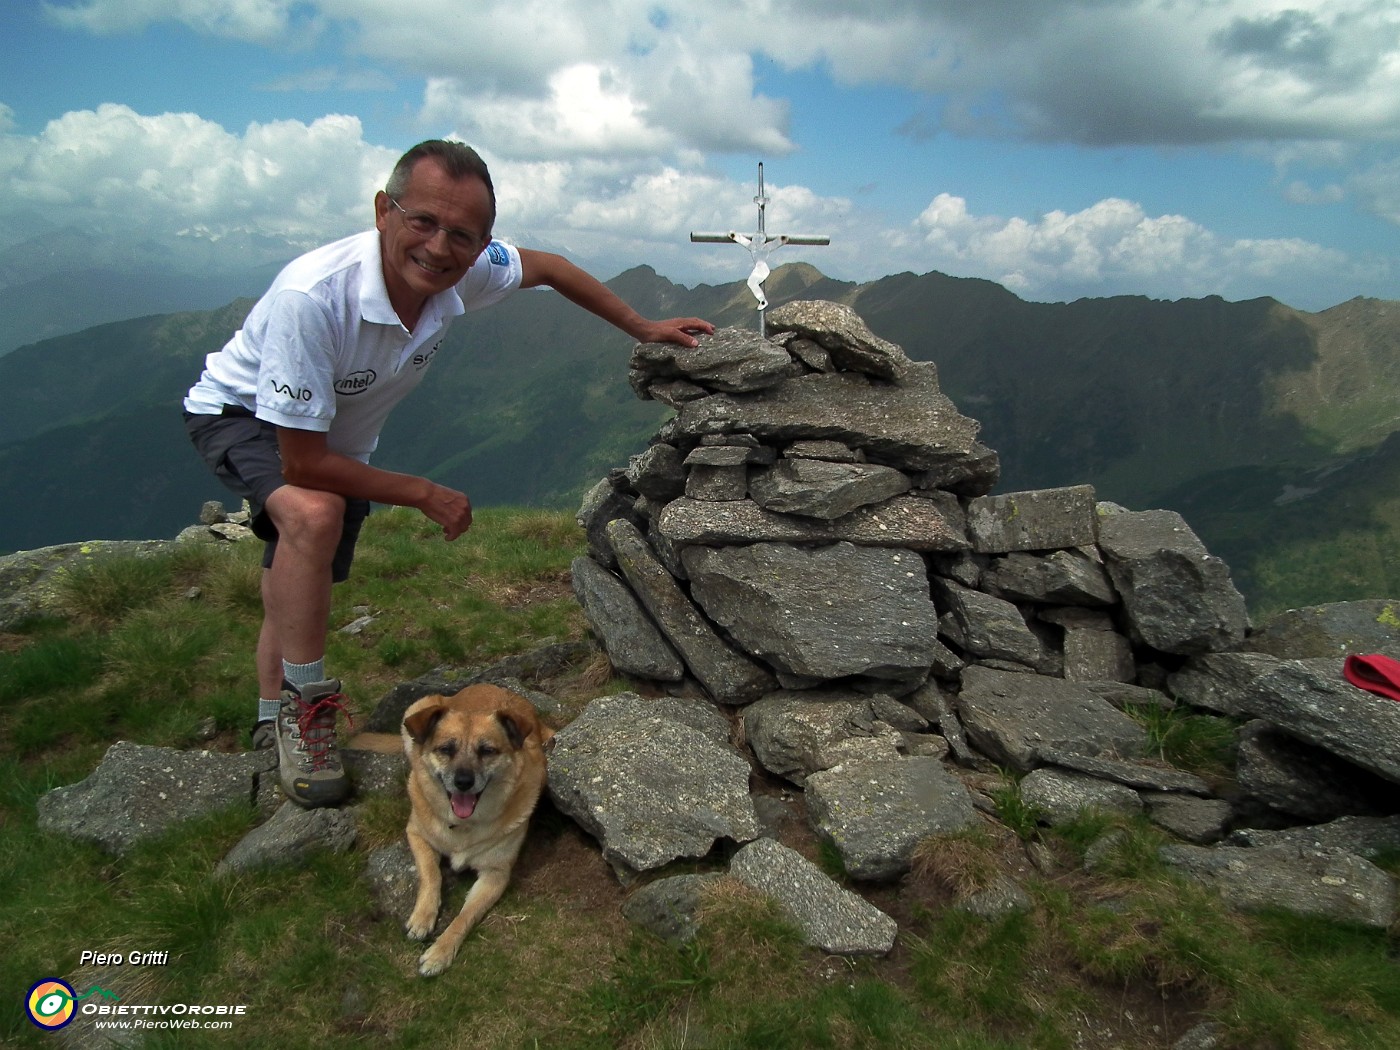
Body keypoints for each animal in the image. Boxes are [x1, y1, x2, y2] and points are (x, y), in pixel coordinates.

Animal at [397, 686, 554, 974]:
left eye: (487, 751)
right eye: (446, 749)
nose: (463, 782)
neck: (463, 826)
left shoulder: (495, 875)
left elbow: (466, 916)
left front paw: (440, 952)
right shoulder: (416, 833)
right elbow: (431, 874)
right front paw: (422, 917)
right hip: (415, 709)